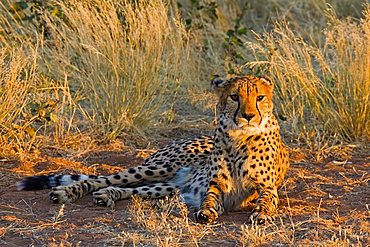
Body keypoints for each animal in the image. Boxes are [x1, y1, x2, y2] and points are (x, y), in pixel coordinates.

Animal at [17, 75, 290, 224]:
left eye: (260, 97)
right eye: (234, 97)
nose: (248, 116)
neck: (239, 136)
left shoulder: (265, 187)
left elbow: (266, 200)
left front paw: (261, 215)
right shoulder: (215, 186)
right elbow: (210, 199)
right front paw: (206, 211)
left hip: (169, 186)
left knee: (130, 190)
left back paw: (107, 196)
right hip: (158, 168)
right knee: (101, 179)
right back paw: (66, 192)